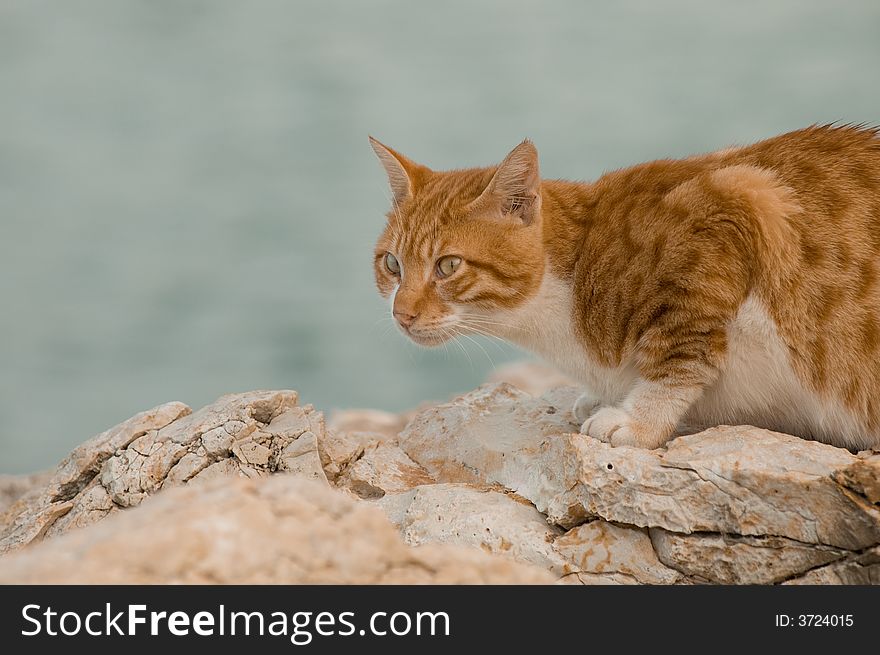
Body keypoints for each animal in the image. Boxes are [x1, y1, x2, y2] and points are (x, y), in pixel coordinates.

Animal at [368, 128, 880, 454]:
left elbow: (681, 356)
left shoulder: (738, 205)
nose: (402, 314)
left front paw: (639, 420)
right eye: (393, 264)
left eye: (448, 265)